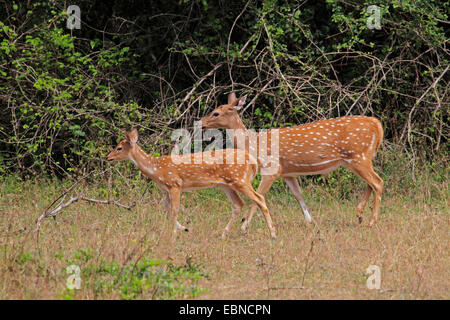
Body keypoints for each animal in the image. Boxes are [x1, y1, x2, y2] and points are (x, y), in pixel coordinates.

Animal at [108, 128, 278, 242]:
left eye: (119, 147)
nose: (108, 157)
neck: (156, 169)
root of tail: (252, 161)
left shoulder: (175, 184)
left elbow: (174, 211)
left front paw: (174, 235)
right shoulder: (165, 190)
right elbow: (166, 211)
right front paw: (184, 228)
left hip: (240, 180)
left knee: (259, 198)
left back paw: (273, 234)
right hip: (226, 185)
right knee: (238, 204)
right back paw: (223, 234)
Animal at [200, 91, 384, 229]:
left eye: (216, 113)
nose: (201, 122)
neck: (254, 144)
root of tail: (377, 124)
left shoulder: (271, 168)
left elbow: (259, 196)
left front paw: (244, 225)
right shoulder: (287, 173)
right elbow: (298, 195)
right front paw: (311, 221)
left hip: (357, 156)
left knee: (378, 182)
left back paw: (372, 221)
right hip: (360, 158)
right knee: (371, 182)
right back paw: (359, 215)